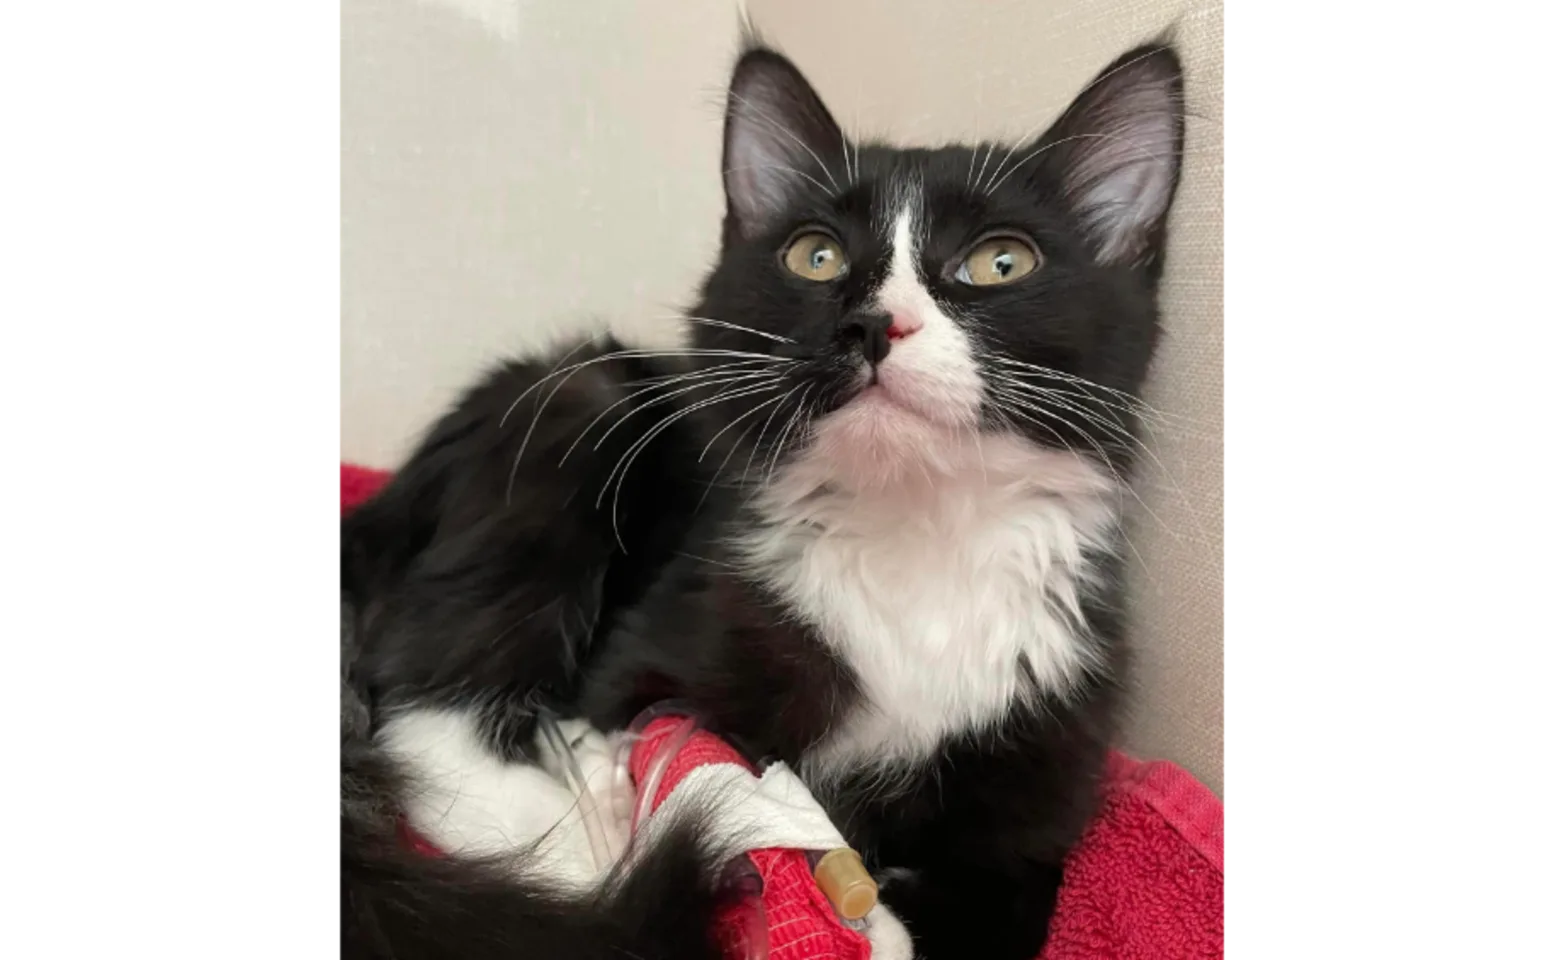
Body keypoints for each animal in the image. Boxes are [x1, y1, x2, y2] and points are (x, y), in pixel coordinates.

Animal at [333, 33, 1182, 956]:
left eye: (1001, 262)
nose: (871, 324)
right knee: (425, 696)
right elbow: (681, 741)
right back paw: (580, 847)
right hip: (573, 407)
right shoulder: (664, 636)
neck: (915, 534)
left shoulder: (1048, 734)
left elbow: (1011, 896)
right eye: (816, 255)